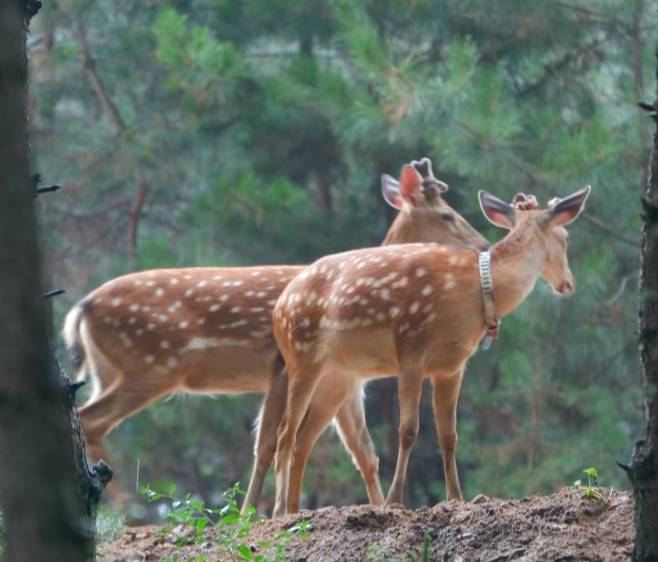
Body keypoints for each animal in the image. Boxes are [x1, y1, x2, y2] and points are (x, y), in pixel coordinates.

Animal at [64, 159, 490, 512]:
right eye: (447, 215)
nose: (484, 244)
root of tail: (81, 307)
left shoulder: (348, 380)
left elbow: (362, 452)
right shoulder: (287, 368)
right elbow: (272, 441)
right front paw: (258, 513)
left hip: (113, 371)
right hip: (152, 364)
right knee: (91, 419)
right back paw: (123, 511)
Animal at [272, 186, 588, 516]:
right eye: (565, 237)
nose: (569, 283)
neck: (473, 293)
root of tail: (279, 308)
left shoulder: (452, 366)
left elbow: (449, 435)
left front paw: (458, 497)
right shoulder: (411, 347)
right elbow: (408, 429)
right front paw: (395, 499)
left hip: (339, 376)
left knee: (303, 439)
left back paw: (294, 509)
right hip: (302, 353)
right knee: (285, 433)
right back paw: (280, 510)